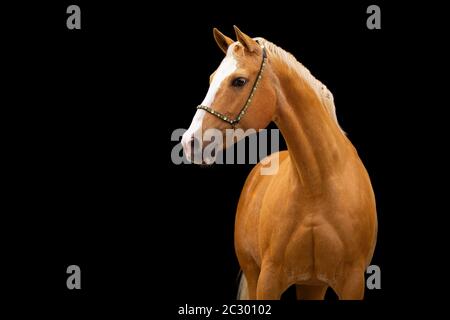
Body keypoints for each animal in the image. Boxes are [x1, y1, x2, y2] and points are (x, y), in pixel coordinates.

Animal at [181, 26, 378, 298]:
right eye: (211, 79)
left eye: (238, 81)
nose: (190, 142)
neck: (317, 186)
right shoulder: (268, 279)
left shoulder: (352, 283)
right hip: (254, 274)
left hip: (312, 285)